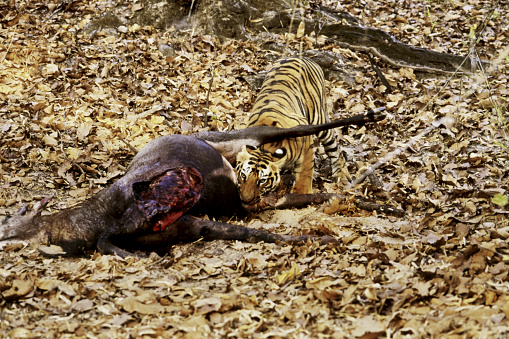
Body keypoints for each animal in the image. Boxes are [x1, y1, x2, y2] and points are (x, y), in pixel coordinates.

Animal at [235, 56, 350, 207]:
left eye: (262, 181)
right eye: (243, 176)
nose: (245, 200)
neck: (264, 147)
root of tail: (303, 57)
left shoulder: (306, 147)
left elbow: (304, 177)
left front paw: (301, 196)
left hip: (319, 119)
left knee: (334, 147)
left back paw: (341, 176)